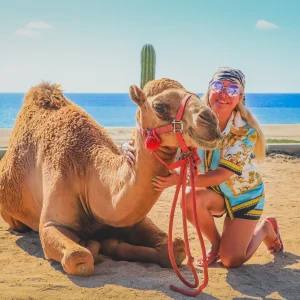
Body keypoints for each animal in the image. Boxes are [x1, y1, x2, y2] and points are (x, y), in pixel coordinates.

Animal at [0, 79, 220, 276]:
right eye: (159, 106)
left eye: (195, 94)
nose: (212, 120)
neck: (87, 170)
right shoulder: (50, 224)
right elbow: (78, 255)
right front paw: (93, 244)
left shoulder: (133, 219)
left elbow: (174, 248)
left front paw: (110, 243)